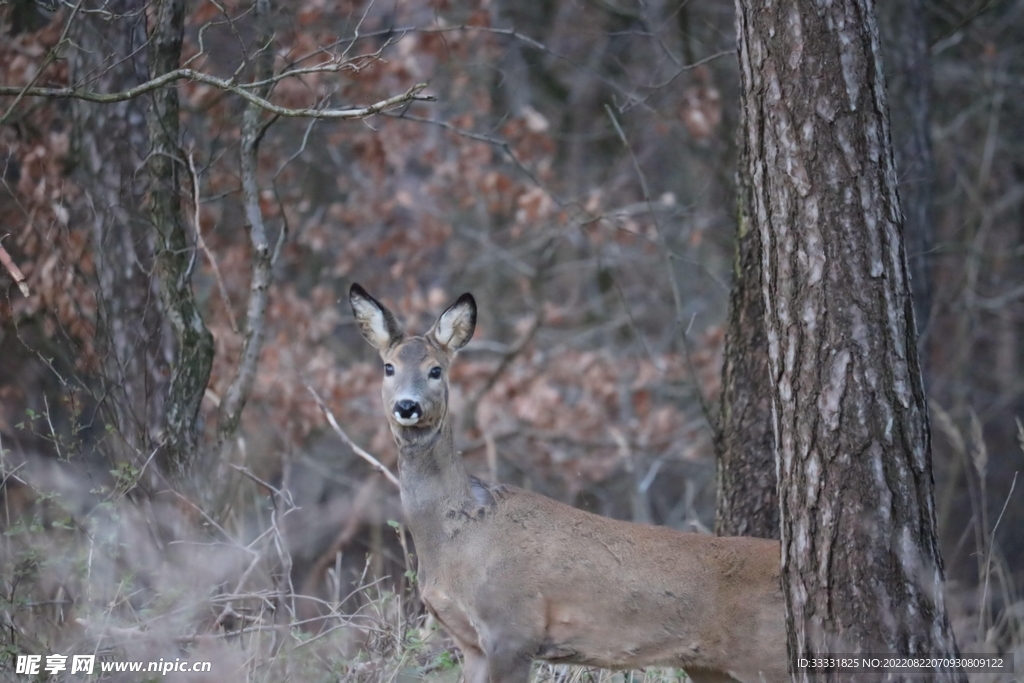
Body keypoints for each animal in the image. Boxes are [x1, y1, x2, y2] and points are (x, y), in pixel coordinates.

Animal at [348, 283, 787, 683]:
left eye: (436, 370)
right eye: (389, 367)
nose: (407, 406)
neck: (457, 535)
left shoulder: (513, 628)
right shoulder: (469, 640)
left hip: (767, 656)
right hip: (709, 666)